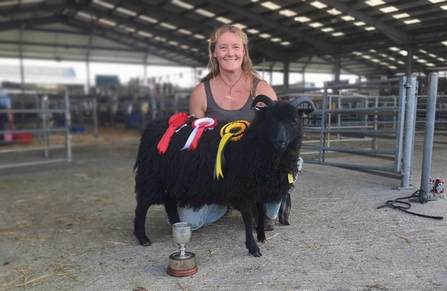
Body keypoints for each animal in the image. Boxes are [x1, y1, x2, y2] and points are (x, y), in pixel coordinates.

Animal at [133, 95, 316, 258]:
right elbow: (248, 218)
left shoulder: (259, 186)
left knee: (170, 204)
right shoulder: (242, 189)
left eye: (294, 121)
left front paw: (261, 236)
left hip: (171, 180)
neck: (252, 144)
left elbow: (260, 211)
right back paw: (142, 238)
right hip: (151, 177)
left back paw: (178, 226)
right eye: (270, 119)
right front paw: (253, 247)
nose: (281, 142)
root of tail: (152, 126)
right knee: (142, 205)